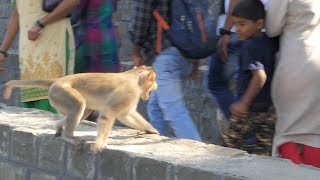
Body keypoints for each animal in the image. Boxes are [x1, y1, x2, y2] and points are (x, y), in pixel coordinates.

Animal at [4, 66, 159, 153]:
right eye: (153, 80)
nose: (156, 86)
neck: (135, 78)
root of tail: (57, 80)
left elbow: (127, 115)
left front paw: (151, 130)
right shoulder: (129, 92)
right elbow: (109, 115)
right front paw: (99, 144)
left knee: (84, 110)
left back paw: (59, 126)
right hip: (61, 92)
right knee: (79, 104)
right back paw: (68, 136)